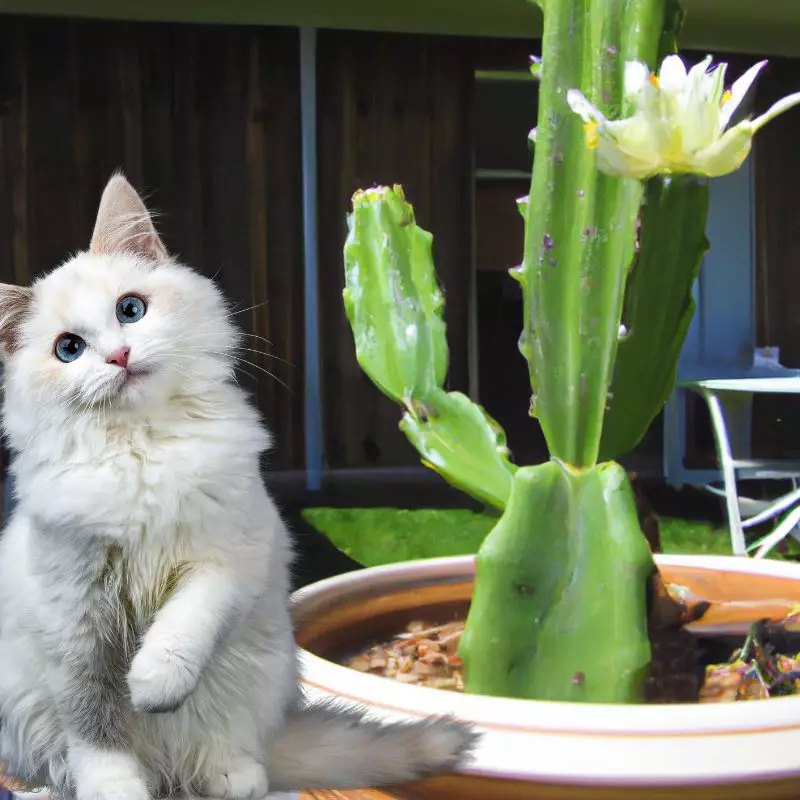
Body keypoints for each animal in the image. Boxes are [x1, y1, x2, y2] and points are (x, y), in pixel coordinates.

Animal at [0, 175, 476, 800]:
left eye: (131, 310)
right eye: (69, 349)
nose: (119, 356)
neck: (143, 449)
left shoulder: (225, 561)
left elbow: (182, 631)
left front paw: (151, 686)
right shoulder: (75, 619)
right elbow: (96, 726)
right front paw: (117, 787)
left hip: (256, 674)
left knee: (235, 753)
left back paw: (233, 777)